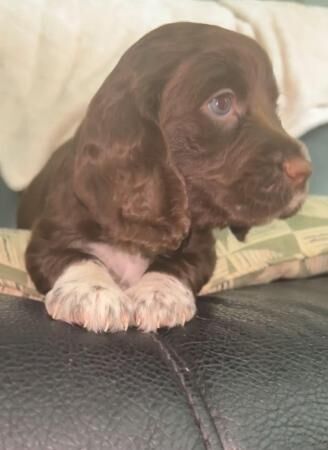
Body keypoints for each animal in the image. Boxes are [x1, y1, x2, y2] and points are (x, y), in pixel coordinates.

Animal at [18, 22, 312, 332]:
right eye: (221, 103)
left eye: (274, 107)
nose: (305, 170)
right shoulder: (47, 237)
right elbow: (76, 256)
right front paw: (92, 292)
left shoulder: (200, 248)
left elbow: (175, 264)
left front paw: (158, 295)